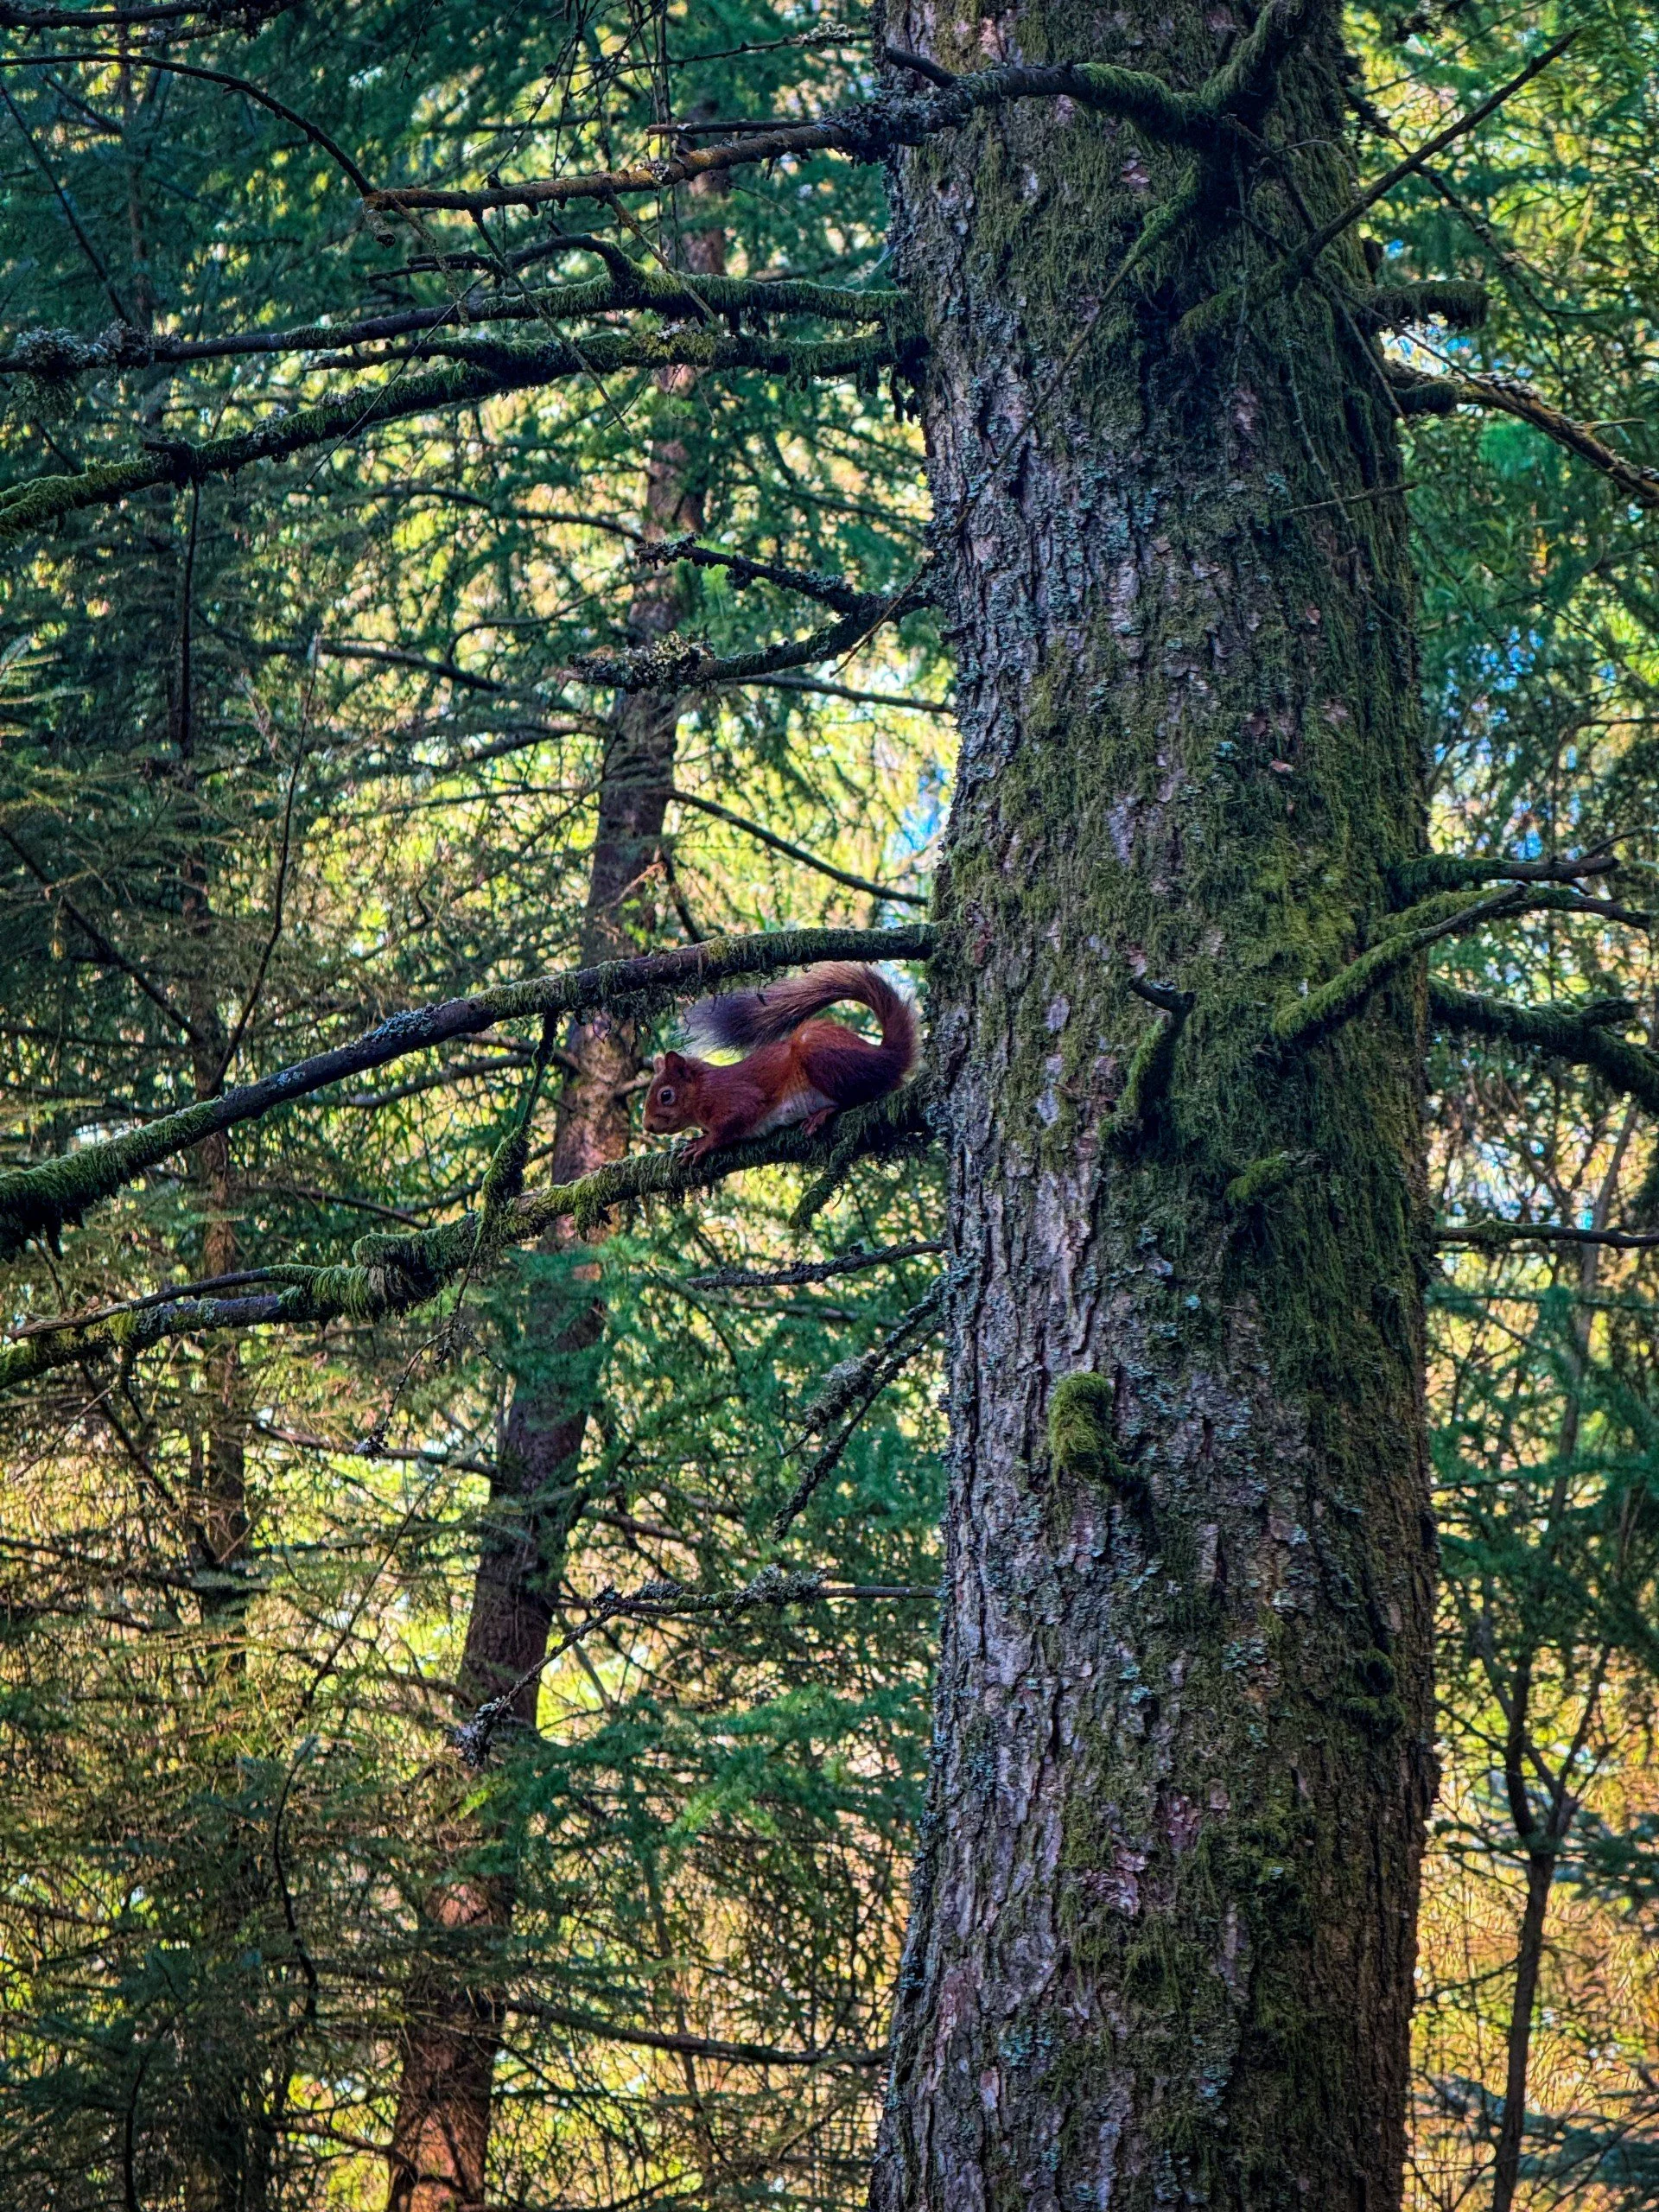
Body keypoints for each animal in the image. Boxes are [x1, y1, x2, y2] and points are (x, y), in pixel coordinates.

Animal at [643, 961, 917, 1163]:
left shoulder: (734, 1097)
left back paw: (823, 1113)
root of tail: (886, 1057)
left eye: (666, 1095)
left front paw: (703, 1143)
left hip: (819, 1053)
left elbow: (732, 1123)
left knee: (859, 1097)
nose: (647, 1126)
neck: (703, 1089)